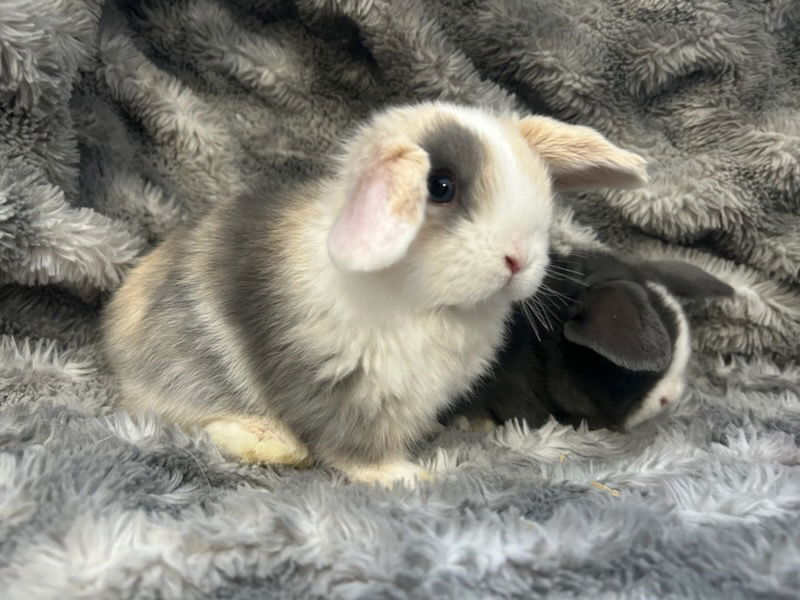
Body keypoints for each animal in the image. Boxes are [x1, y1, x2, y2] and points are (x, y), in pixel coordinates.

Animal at [102, 102, 648, 486]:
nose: (519, 259)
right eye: (440, 186)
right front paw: (403, 475)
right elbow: (353, 446)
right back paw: (273, 444)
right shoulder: (341, 388)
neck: (425, 304)